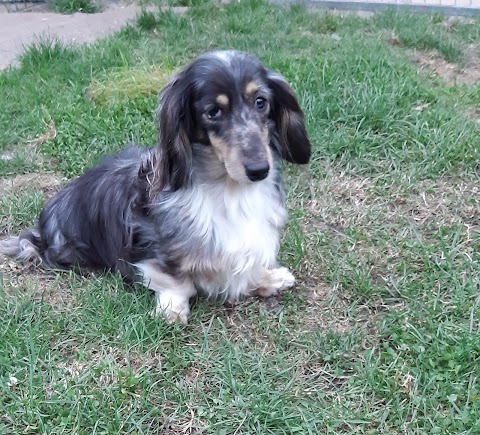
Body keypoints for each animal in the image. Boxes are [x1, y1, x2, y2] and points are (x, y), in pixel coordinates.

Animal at [0, 51, 312, 324]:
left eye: (261, 102)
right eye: (213, 111)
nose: (259, 170)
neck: (228, 189)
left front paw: (268, 278)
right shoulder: (147, 246)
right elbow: (178, 282)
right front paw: (173, 310)